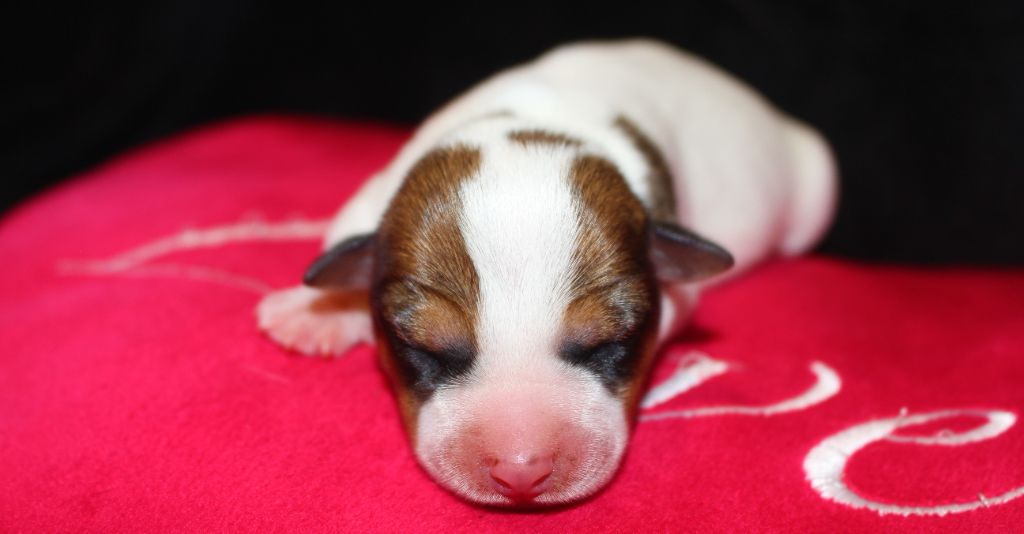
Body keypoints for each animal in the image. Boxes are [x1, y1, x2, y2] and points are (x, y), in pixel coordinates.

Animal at [258, 39, 839, 506]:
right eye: (422, 346)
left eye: (609, 341)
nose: (521, 473)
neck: (531, 127)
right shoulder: (376, 193)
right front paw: (316, 310)